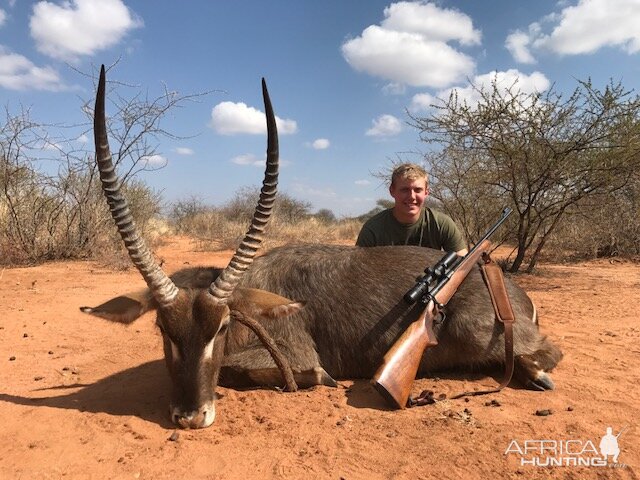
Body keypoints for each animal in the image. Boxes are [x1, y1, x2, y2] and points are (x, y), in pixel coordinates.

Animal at [82, 65, 564, 430]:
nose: (190, 417)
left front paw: (317, 376)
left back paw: (536, 374)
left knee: (546, 351)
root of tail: (510, 287)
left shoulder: (289, 350)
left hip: (479, 333)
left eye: (221, 327)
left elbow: (244, 370)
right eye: (163, 329)